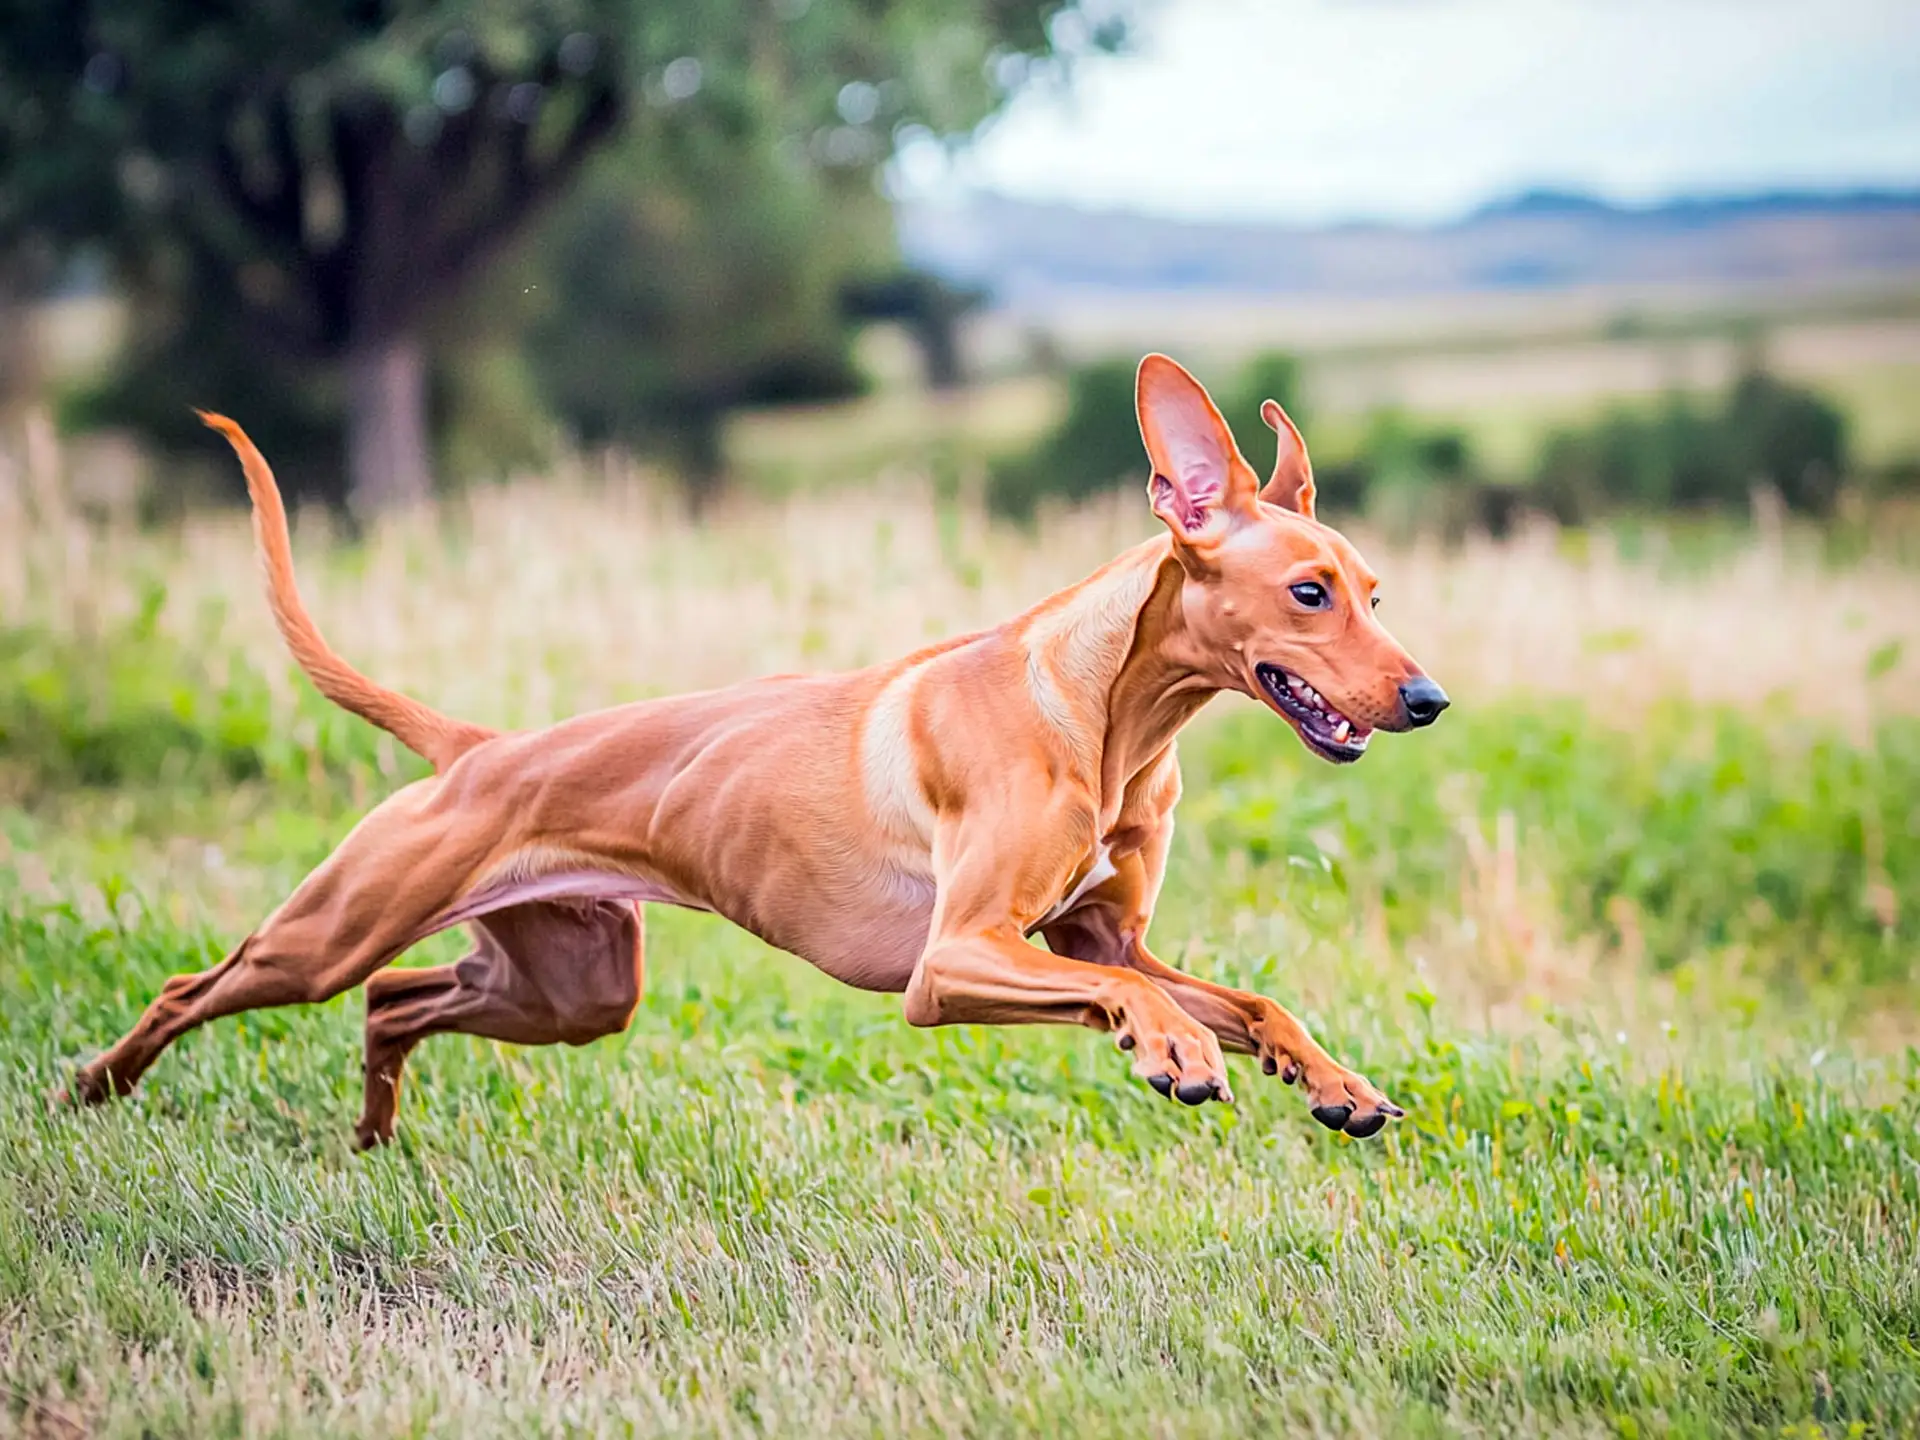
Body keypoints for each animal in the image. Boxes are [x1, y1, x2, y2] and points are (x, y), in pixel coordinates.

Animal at [78, 359, 1451, 1152]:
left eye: (1378, 593)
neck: (1109, 718)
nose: (1429, 697)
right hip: (333, 931)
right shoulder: (957, 961)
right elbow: (1152, 1003)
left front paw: (1331, 1081)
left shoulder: (1097, 941)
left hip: (575, 986)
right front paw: (1173, 1049)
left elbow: (1243, 998)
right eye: (1312, 592)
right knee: (195, 987)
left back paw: (370, 1127)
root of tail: (482, 746)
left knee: (394, 1000)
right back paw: (95, 1087)